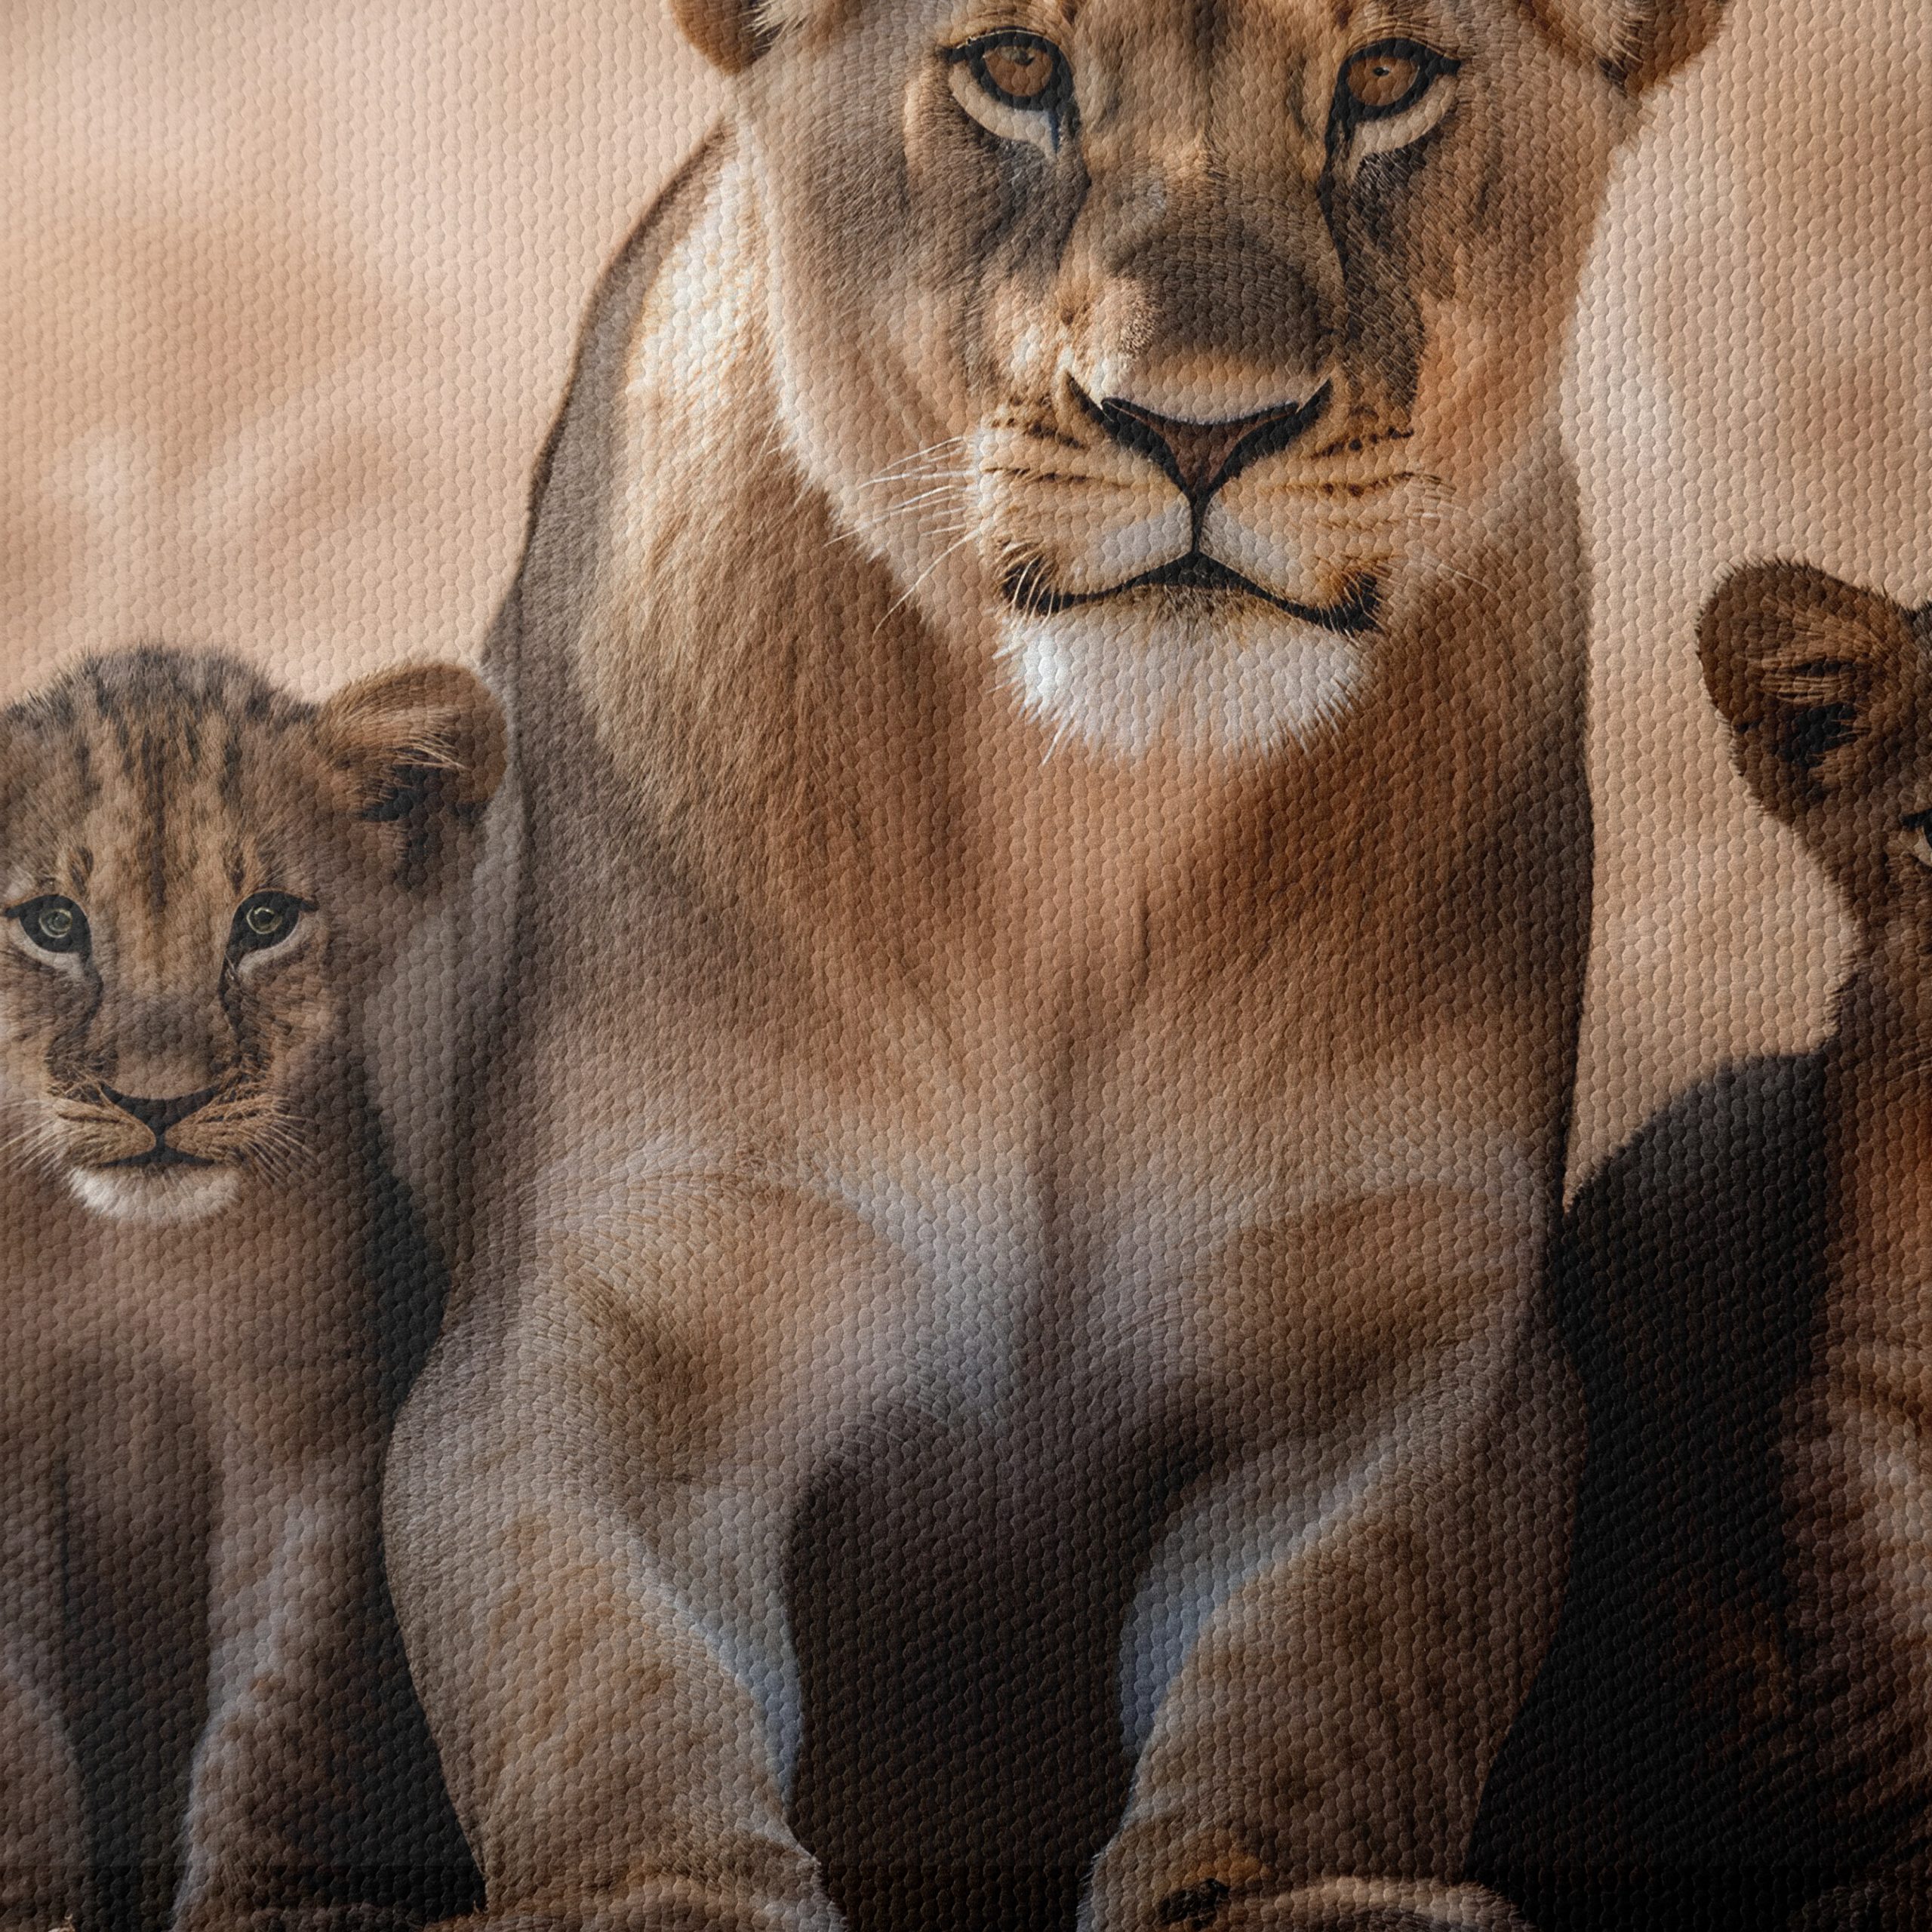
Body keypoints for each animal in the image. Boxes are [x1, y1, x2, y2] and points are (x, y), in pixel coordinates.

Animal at [0, 647, 500, 1932]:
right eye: (53, 924)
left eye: (264, 921)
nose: (159, 1104)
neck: (132, 1260)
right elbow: (21, 1741)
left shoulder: (313, 1426)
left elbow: (281, 1725)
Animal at [382, 2, 1729, 1928]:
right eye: (1016, 69)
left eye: (1386, 78)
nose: (1196, 432)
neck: (1083, 829)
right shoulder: (593, 1349)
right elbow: (608, 1692)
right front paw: (677, 1888)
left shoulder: (1410, 1361)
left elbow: (1320, 1664)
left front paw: (1277, 1892)